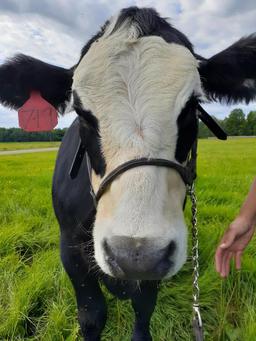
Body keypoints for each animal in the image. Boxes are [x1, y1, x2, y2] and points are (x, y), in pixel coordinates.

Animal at [0, 7, 256, 340]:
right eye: (81, 113)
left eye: (192, 107)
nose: (135, 255)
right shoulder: (69, 248)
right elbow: (92, 315)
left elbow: (144, 308)